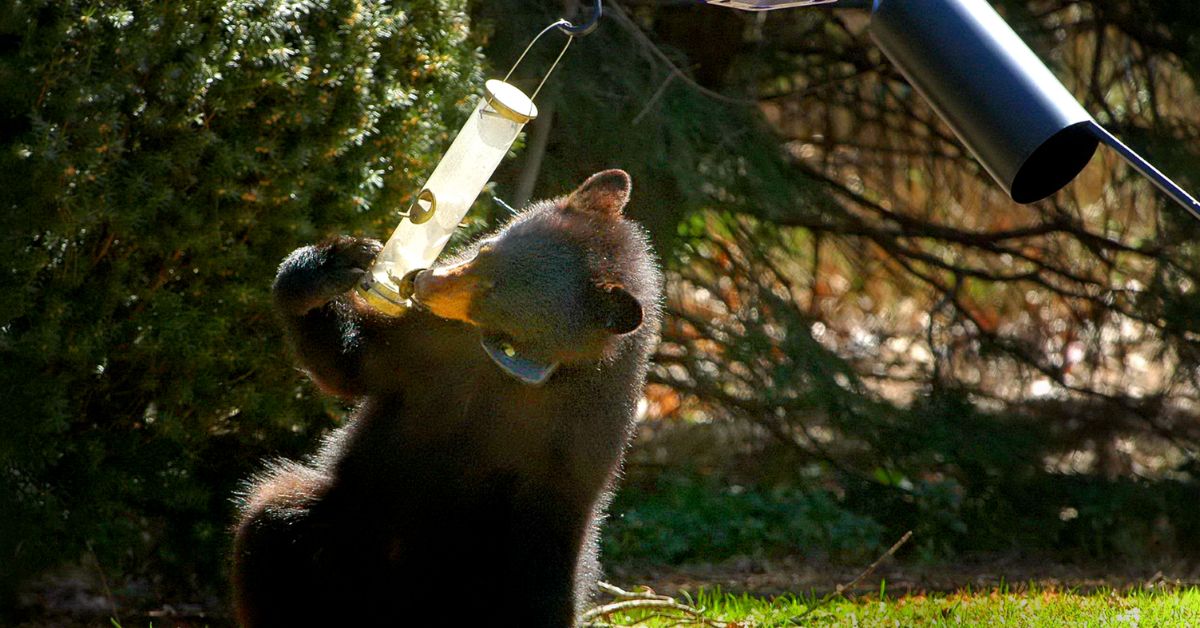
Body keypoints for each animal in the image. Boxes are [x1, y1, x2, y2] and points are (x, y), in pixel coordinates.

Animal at [231, 170, 662, 627]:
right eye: (488, 249)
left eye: (496, 294)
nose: (422, 280)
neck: (508, 364)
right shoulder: (434, 343)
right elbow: (352, 361)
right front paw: (329, 266)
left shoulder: (576, 442)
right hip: (347, 523)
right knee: (274, 523)